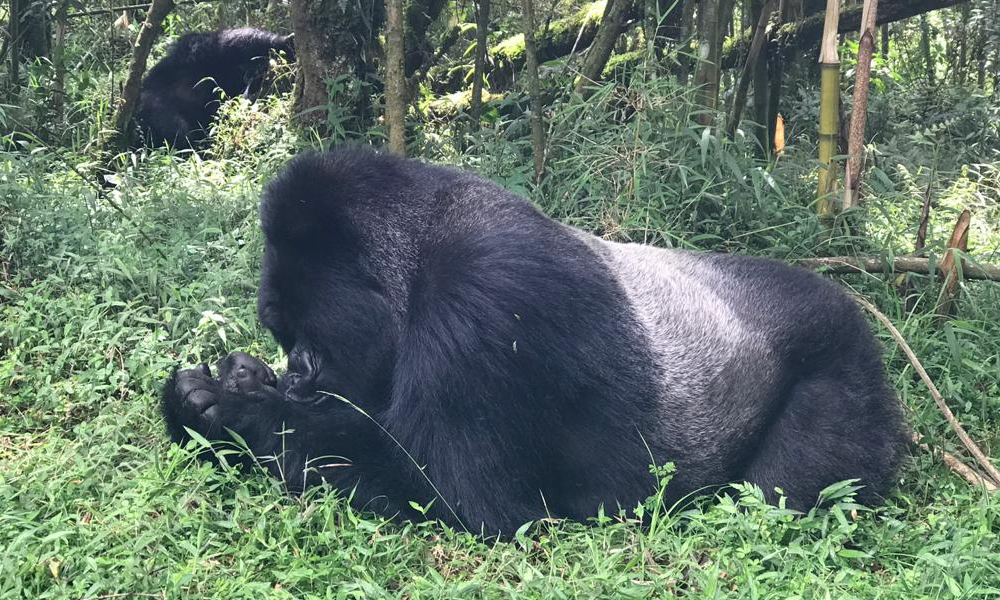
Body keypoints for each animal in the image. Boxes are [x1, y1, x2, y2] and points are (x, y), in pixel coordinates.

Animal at [162, 149, 908, 536]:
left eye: (312, 346)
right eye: (282, 339)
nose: (292, 378)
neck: (417, 253)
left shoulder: (486, 298)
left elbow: (466, 501)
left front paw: (237, 413)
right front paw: (236, 382)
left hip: (844, 358)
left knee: (777, 492)